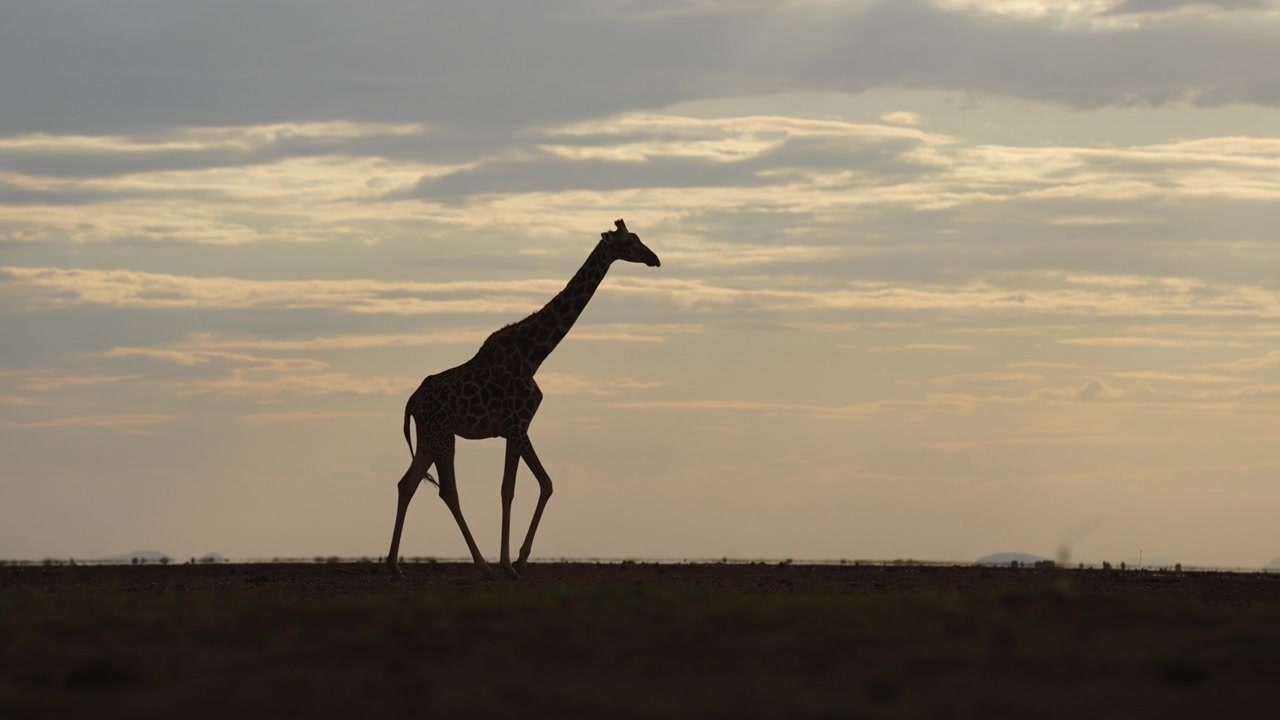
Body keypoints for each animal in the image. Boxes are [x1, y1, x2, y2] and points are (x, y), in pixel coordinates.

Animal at [386, 219, 661, 579]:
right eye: (629, 242)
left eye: (639, 238)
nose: (655, 259)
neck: (534, 354)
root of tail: (411, 403)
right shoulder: (517, 425)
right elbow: (520, 487)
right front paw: (510, 563)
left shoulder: (515, 429)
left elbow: (533, 485)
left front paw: (516, 560)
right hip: (443, 434)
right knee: (447, 491)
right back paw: (483, 566)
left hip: (429, 436)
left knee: (407, 484)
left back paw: (393, 566)